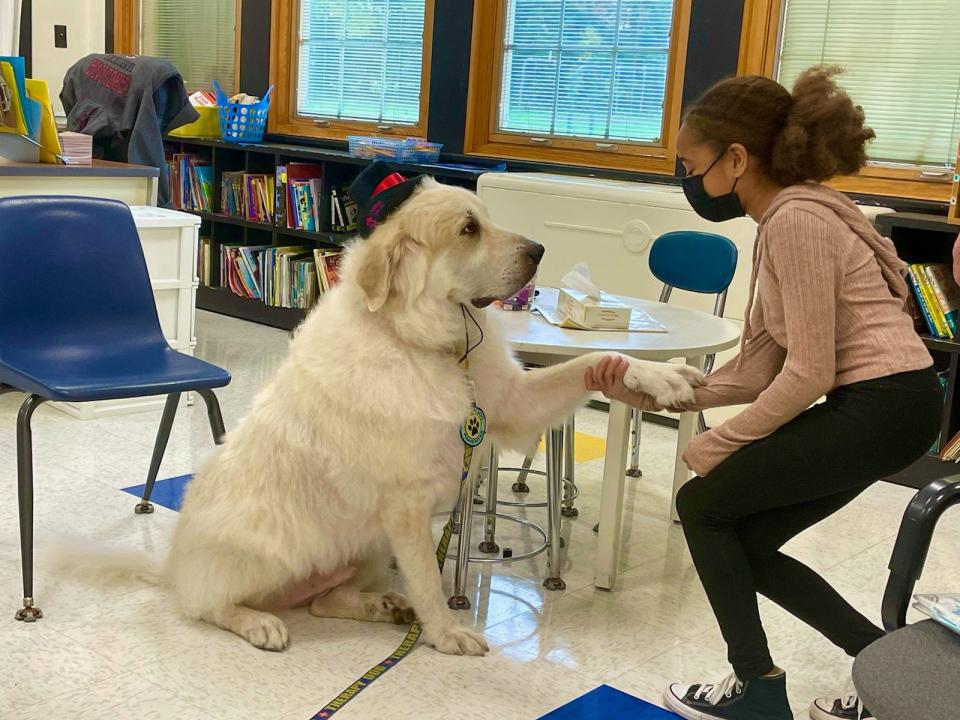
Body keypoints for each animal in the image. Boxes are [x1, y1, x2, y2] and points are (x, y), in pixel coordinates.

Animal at [71, 177, 700, 656]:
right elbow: (429, 580)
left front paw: (657, 377)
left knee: (324, 603)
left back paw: (382, 606)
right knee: (206, 605)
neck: (426, 344)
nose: (540, 251)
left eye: (487, 220)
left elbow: (593, 363)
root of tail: (173, 564)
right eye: (468, 229)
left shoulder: (511, 404)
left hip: (365, 542)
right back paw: (260, 623)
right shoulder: (405, 508)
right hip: (272, 547)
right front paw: (446, 634)